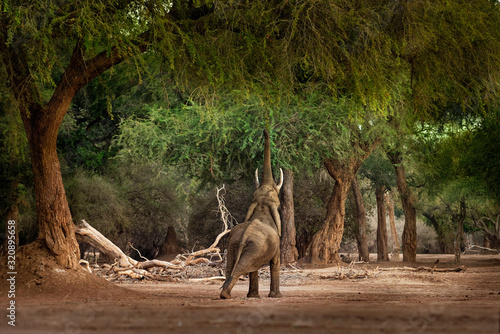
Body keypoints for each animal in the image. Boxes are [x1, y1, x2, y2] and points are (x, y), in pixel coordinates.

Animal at [221, 129, 284, 298]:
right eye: (278, 202)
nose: (265, 130)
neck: (261, 206)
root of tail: (244, 237)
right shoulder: (276, 244)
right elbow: (275, 262)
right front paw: (276, 296)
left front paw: (254, 296)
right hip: (253, 246)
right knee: (240, 268)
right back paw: (226, 295)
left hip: (236, 244)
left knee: (232, 266)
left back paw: (225, 295)